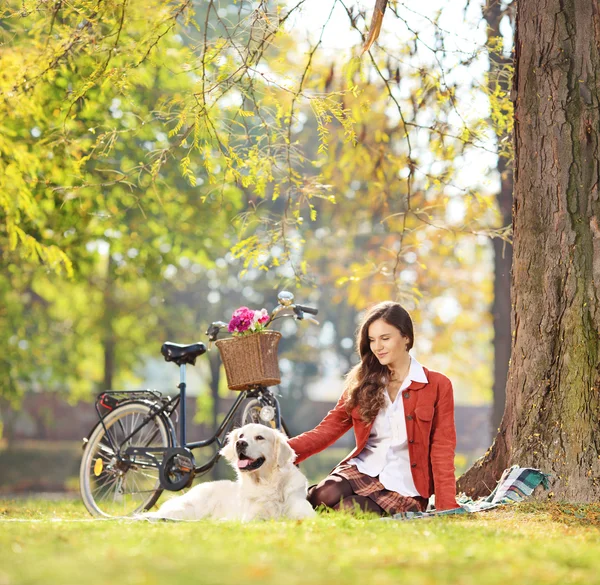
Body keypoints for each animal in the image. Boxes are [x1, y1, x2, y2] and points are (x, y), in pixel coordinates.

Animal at [143, 424, 316, 520]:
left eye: (260, 437)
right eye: (241, 435)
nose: (240, 443)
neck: (268, 483)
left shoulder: (305, 514)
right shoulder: (252, 517)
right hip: (189, 508)